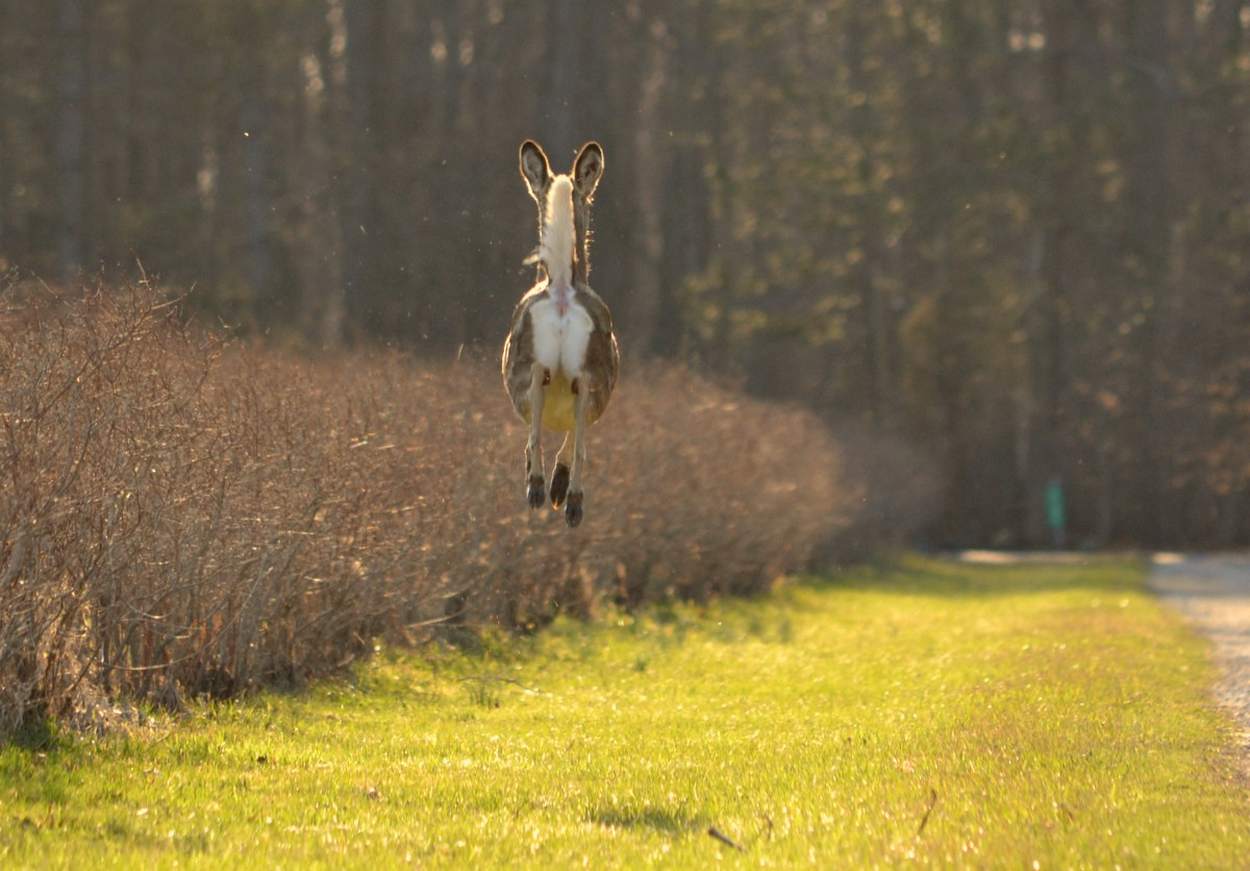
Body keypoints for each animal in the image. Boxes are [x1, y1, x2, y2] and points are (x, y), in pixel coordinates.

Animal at [502, 139, 620, 527]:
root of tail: (562, 294)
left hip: (528, 367)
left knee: (541, 422)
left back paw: (547, 491)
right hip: (593, 374)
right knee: (572, 433)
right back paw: (563, 497)